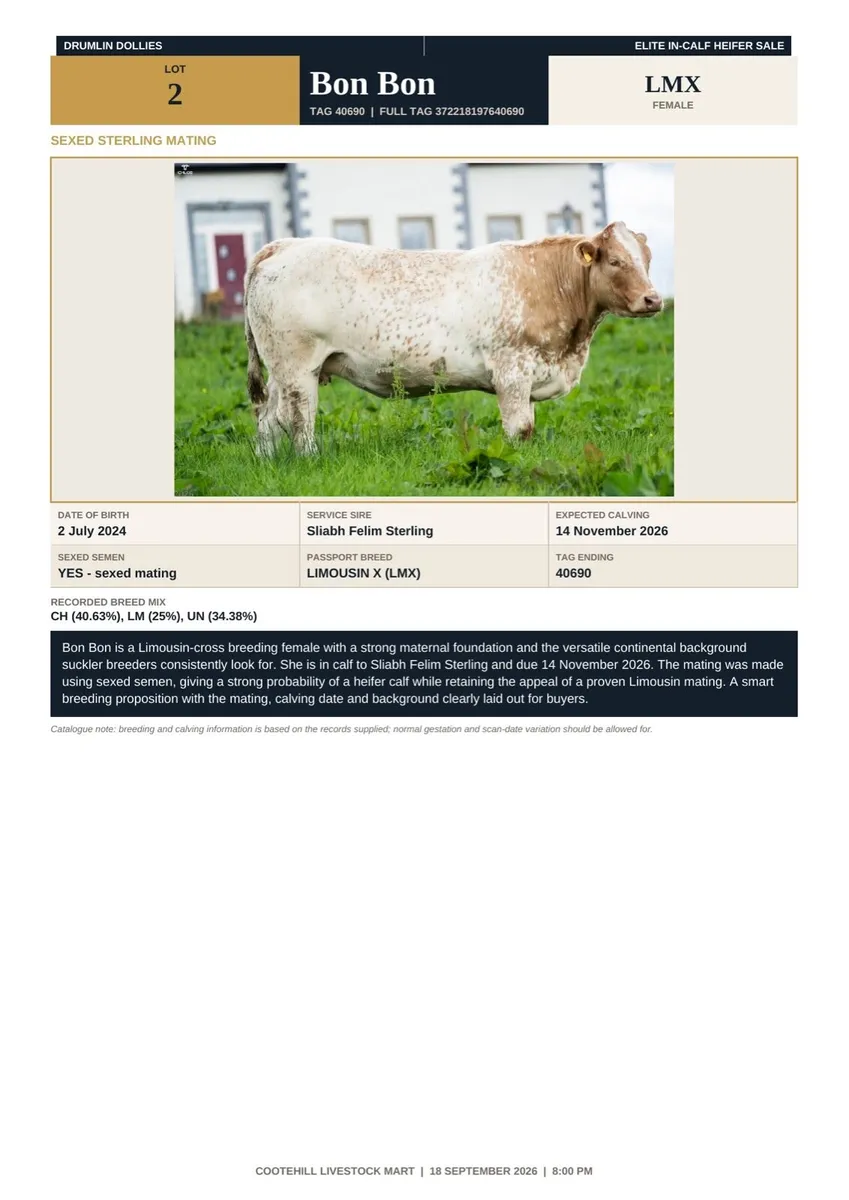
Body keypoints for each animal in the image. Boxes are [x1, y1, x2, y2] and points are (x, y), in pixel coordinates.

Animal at [244, 222, 662, 455]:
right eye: (616, 261)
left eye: (647, 259)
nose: (653, 299)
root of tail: (284, 244)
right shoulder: (512, 369)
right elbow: (519, 429)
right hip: (298, 367)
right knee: (297, 420)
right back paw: (308, 459)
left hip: (282, 372)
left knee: (267, 419)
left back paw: (267, 462)